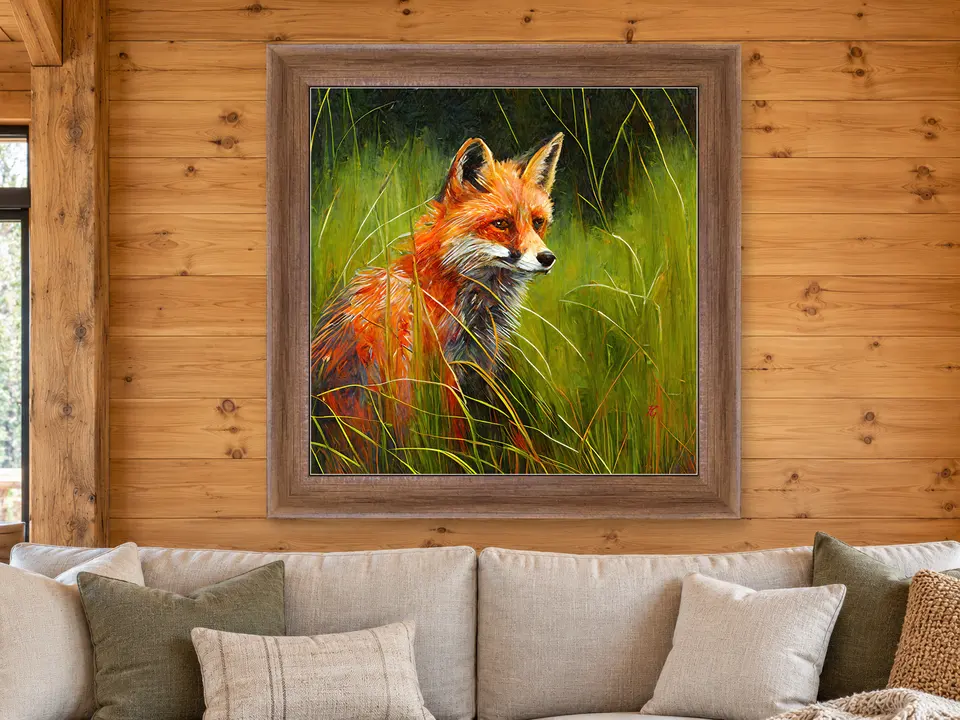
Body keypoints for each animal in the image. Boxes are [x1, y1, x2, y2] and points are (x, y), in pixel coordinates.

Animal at [311, 132, 564, 461]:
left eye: (537, 222)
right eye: (501, 224)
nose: (547, 258)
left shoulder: (479, 368)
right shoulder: (443, 373)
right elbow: (457, 438)